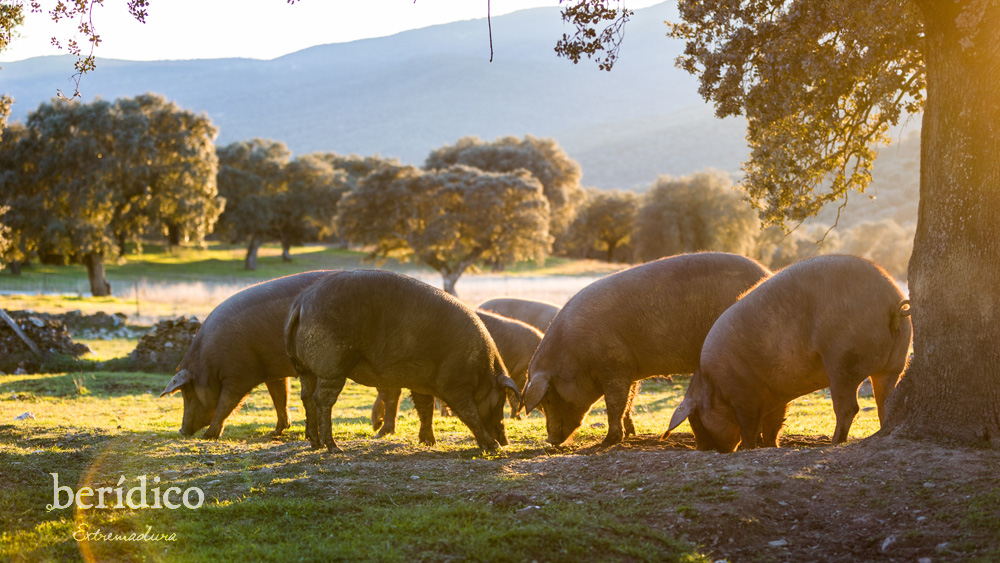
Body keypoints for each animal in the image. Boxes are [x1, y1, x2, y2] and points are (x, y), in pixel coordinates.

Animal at [160, 272, 336, 440]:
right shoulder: (273, 373)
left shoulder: (239, 376)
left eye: (187, 392)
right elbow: (280, 398)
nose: (181, 430)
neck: (207, 364)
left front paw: (208, 436)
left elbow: (225, 404)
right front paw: (274, 433)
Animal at [282, 270, 516, 454]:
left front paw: (429, 442)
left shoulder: (421, 382)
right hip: (332, 367)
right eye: (500, 400)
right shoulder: (455, 385)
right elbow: (470, 413)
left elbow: (425, 408)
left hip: (305, 369)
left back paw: (315, 444)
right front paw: (493, 447)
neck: (483, 370)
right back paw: (333, 447)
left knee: (306, 397)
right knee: (322, 400)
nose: (506, 441)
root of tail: (301, 303)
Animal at [520, 253, 768, 448]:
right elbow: (629, 400)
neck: (573, 354)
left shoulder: (614, 365)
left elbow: (615, 403)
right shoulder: (629, 368)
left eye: (548, 399)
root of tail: (766, 272)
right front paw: (631, 434)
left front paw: (608, 442)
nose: (549, 440)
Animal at [664, 256, 916, 454]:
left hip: (842, 361)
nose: (704, 450)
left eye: (696, 419)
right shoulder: (775, 393)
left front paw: (747, 448)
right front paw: (771, 447)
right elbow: (773, 423)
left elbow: (749, 425)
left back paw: (834, 443)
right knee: (885, 401)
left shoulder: (743, 394)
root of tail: (892, 303)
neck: (713, 384)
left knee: (848, 407)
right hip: (895, 363)